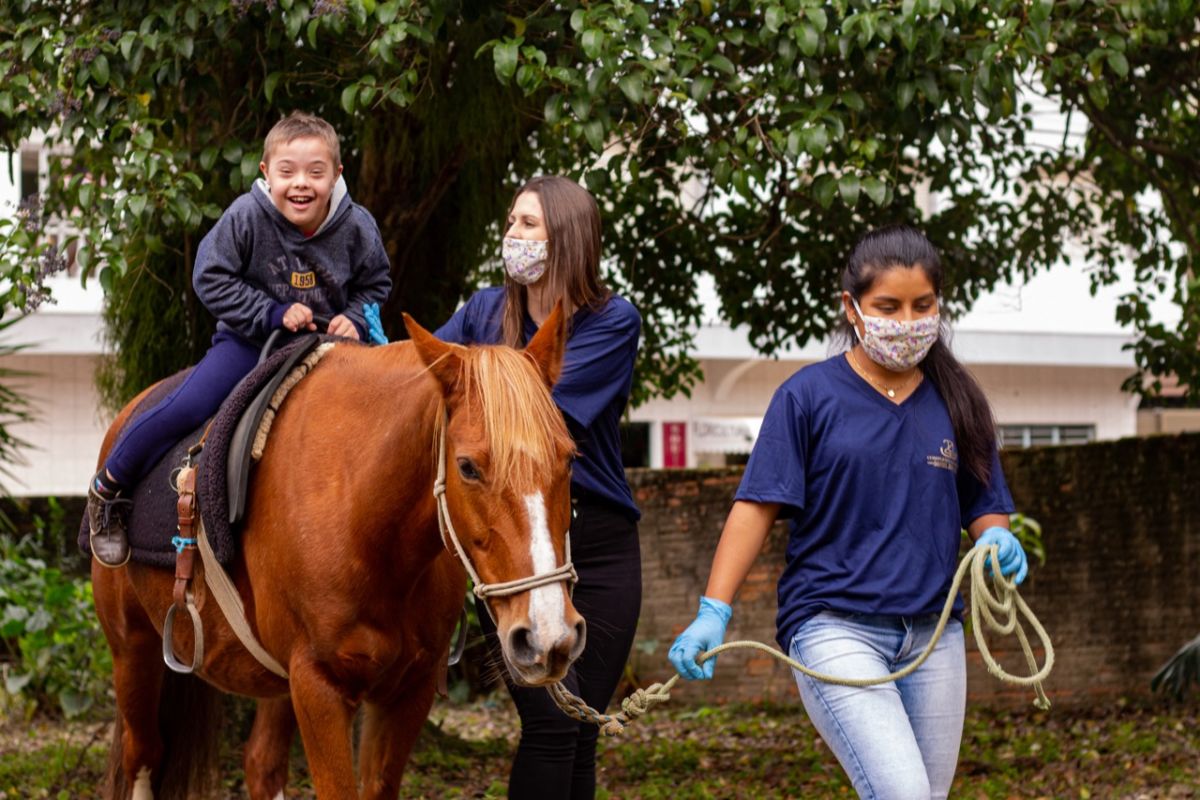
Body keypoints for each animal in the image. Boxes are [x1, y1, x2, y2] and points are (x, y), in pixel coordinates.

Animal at [90, 309, 585, 796]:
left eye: (569, 457)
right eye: (467, 467)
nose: (547, 635)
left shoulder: (410, 689)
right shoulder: (319, 687)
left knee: (261, 763)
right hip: (132, 648)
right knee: (143, 754)